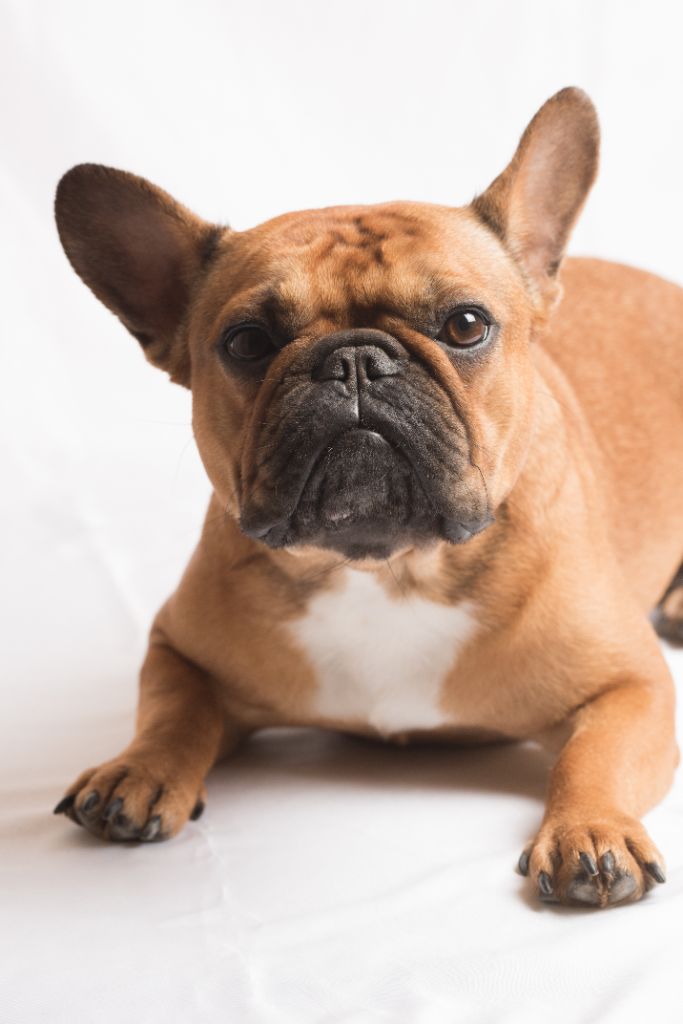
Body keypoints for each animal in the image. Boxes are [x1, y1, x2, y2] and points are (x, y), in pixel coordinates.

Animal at [53, 88, 683, 908]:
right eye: (246, 342)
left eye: (466, 324)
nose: (355, 360)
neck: (384, 566)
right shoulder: (178, 647)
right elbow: (171, 708)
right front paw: (139, 768)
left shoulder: (630, 685)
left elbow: (593, 757)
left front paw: (591, 829)